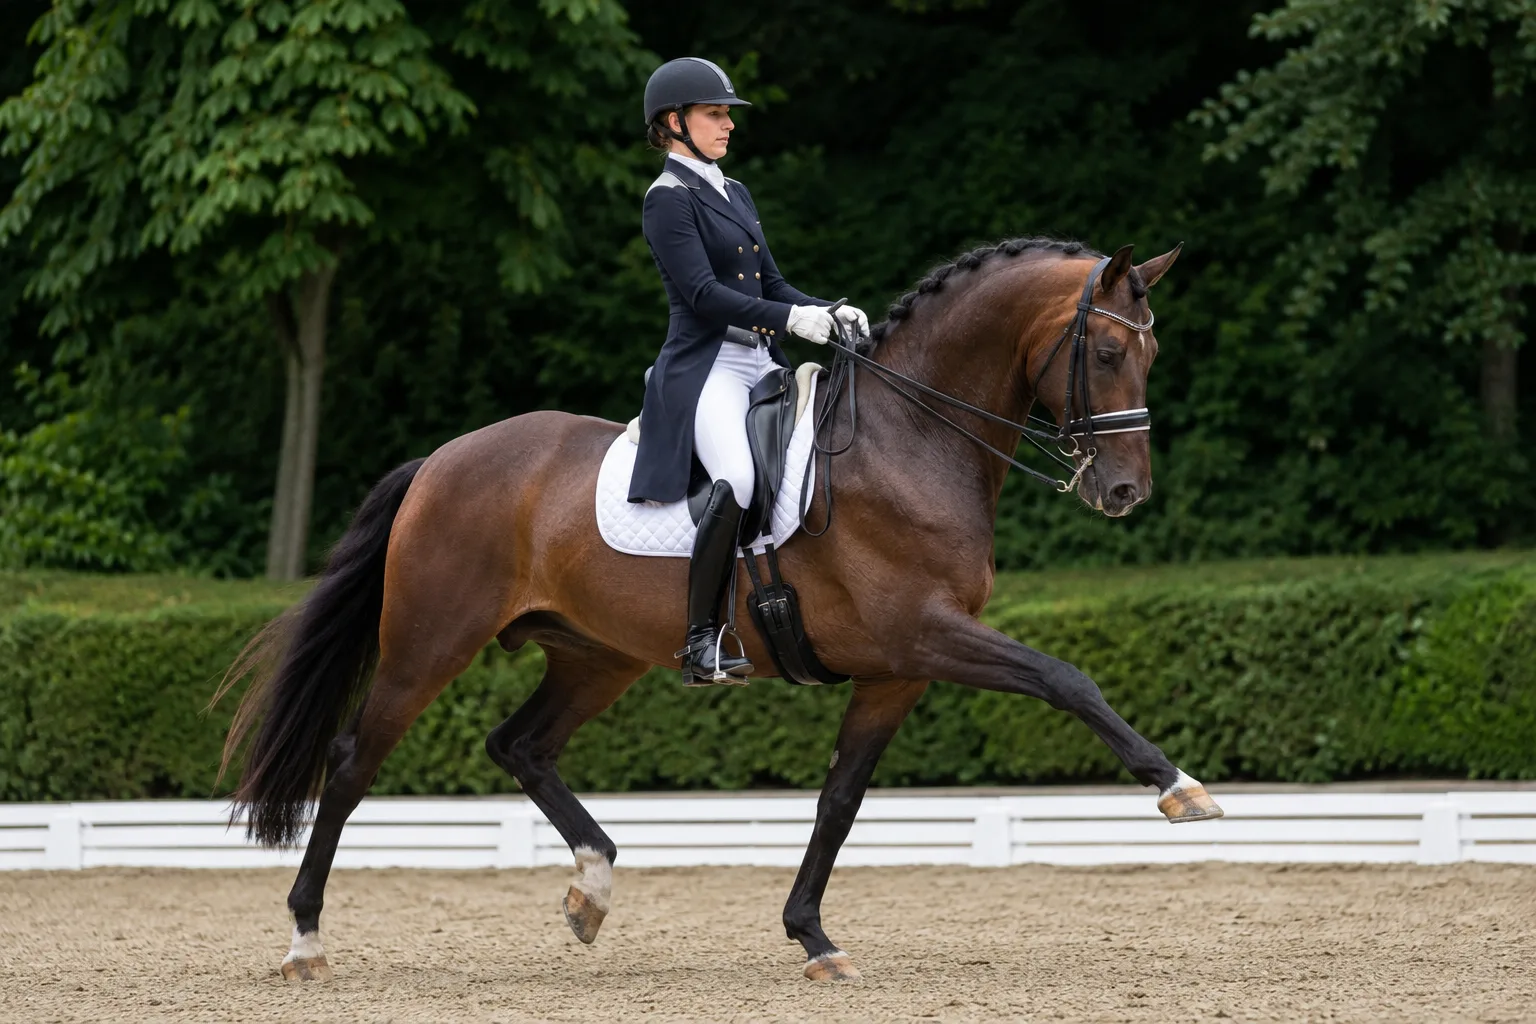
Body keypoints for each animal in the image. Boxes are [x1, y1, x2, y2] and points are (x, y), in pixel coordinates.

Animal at [216, 236, 1222, 985]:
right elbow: (1066, 677)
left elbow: (840, 799)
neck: (910, 440)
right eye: (1105, 353)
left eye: (1152, 352)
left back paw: (592, 889)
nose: (1124, 492)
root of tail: (442, 460)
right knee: (354, 759)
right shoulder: (926, 633)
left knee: (520, 744)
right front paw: (1179, 788)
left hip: (596, 655)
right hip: (431, 642)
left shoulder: (897, 669)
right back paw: (305, 940)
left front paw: (813, 937)